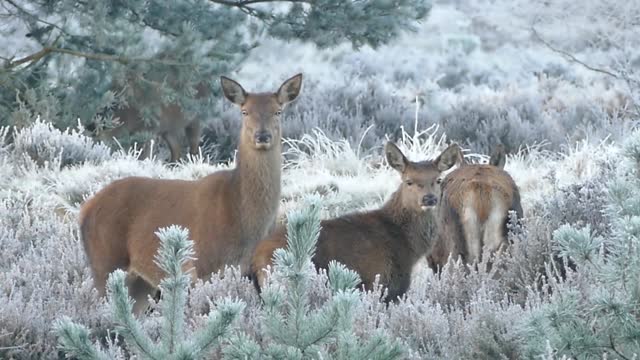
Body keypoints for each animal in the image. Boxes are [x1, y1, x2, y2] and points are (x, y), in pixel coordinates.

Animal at [79, 72, 304, 312]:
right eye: (245, 111)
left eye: (278, 111)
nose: (262, 136)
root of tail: (85, 210)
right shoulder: (202, 265)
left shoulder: (246, 269)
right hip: (105, 262)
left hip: (139, 282)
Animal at [248, 142, 462, 302]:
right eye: (409, 181)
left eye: (438, 179)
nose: (429, 199)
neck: (408, 247)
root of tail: (255, 257)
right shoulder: (380, 283)